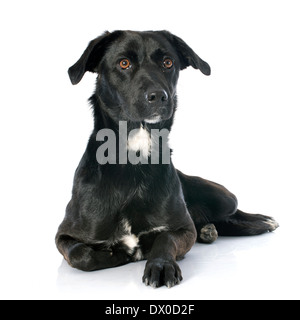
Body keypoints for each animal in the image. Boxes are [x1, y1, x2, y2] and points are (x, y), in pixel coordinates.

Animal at [56, 30, 278, 288]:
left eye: (168, 62)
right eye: (124, 63)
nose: (158, 96)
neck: (135, 159)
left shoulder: (183, 229)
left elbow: (165, 240)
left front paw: (161, 265)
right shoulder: (64, 235)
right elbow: (83, 255)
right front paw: (117, 254)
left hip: (222, 196)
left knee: (231, 214)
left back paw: (261, 221)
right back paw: (210, 230)